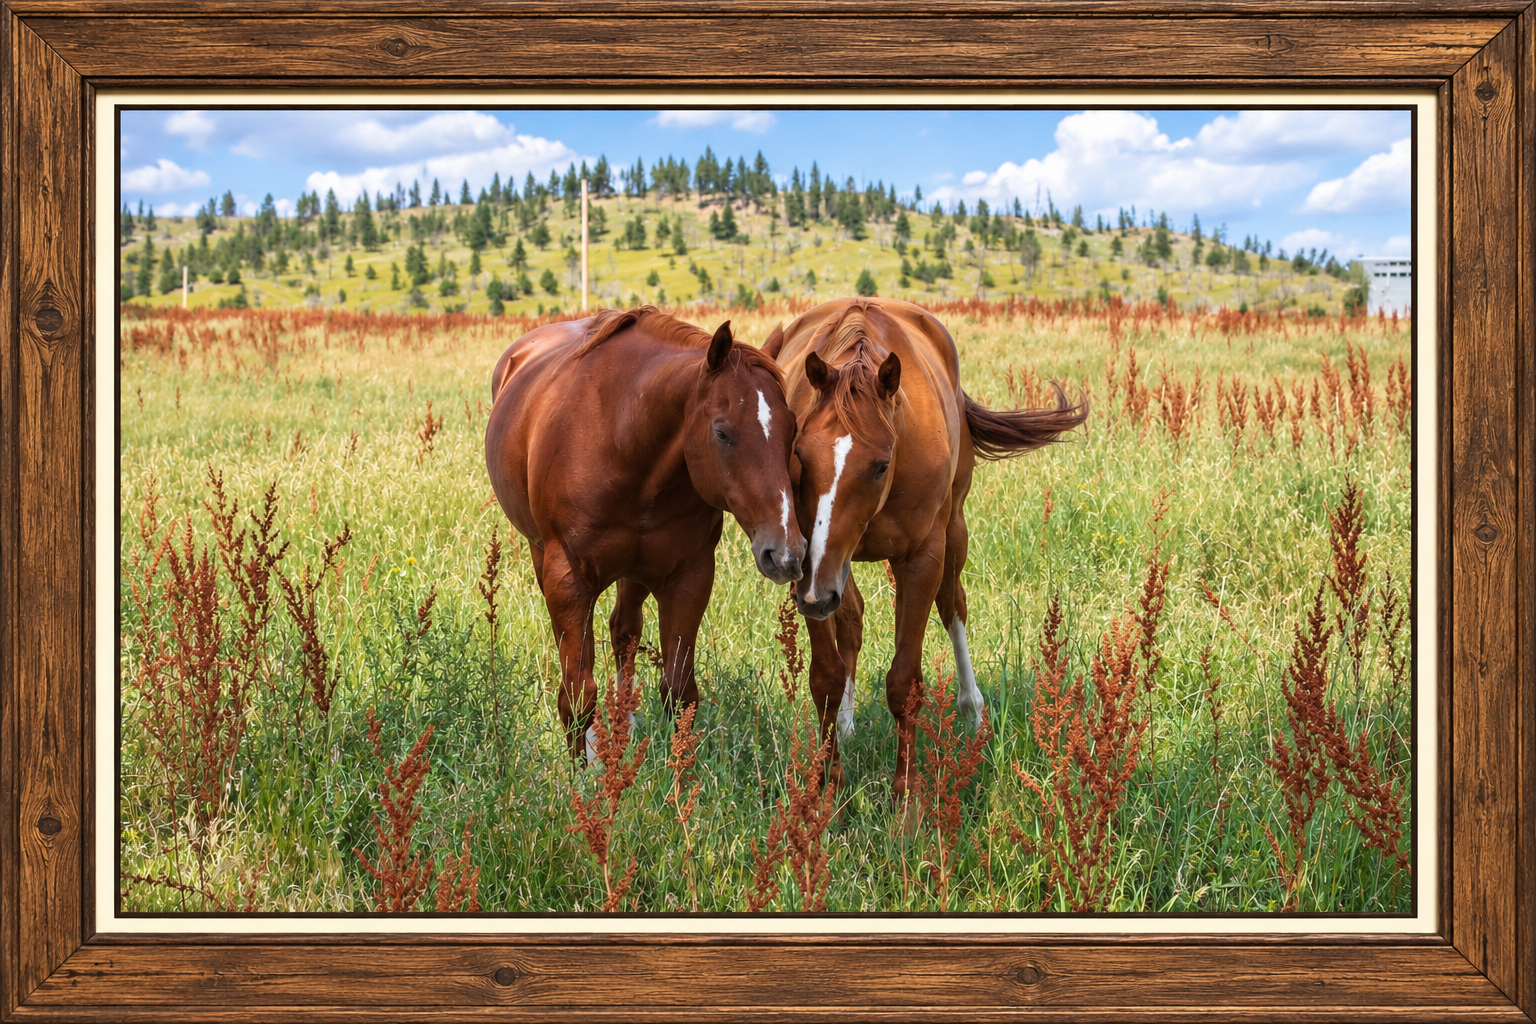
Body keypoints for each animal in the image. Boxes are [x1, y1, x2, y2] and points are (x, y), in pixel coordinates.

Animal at [485, 306, 807, 759]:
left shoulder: (689, 577)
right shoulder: (568, 579)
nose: (786, 553)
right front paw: (582, 774)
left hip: (636, 571)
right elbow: (578, 695)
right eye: (722, 432)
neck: (622, 438)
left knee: (624, 632)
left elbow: (679, 691)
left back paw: (626, 723)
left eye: (792, 429)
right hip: (543, 555)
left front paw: (679, 773)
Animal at [762, 297, 1088, 799]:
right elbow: (825, 677)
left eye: (880, 465)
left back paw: (973, 712)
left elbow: (904, 683)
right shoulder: (808, 563)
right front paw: (828, 790)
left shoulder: (920, 559)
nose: (816, 594)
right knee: (851, 616)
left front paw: (906, 799)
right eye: (799, 455)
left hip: (952, 533)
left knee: (953, 605)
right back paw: (849, 722)